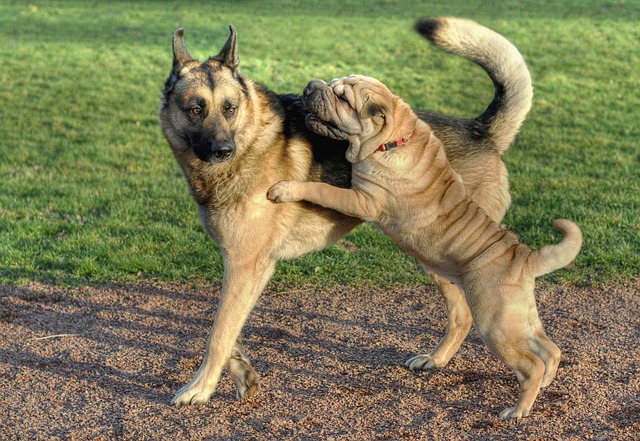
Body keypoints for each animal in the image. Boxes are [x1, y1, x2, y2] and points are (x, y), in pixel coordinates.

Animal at [160, 19, 536, 406]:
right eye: (195, 110)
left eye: (230, 108)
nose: (223, 150)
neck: (250, 140)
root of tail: (481, 130)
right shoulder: (251, 266)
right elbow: (230, 328)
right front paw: (242, 375)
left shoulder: (244, 264)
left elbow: (217, 333)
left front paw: (199, 388)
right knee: (461, 315)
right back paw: (438, 359)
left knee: (474, 311)